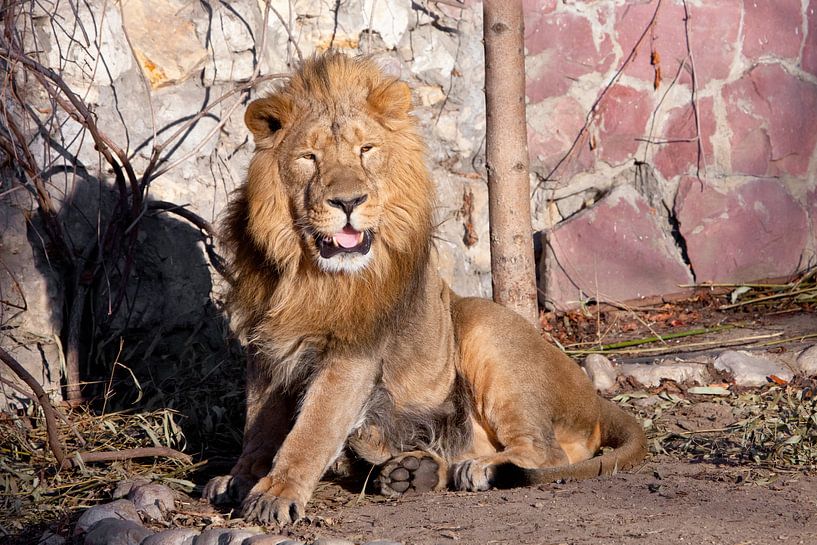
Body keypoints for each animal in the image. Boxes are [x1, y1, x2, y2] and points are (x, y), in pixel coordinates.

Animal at [204, 53, 644, 524]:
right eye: (309, 157)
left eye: (366, 150)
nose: (348, 202)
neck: (306, 273)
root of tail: (595, 399)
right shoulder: (267, 347)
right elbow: (259, 425)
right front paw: (240, 477)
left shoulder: (353, 353)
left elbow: (311, 430)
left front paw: (276, 492)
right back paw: (412, 472)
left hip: (484, 327)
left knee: (547, 453)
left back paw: (478, 470)